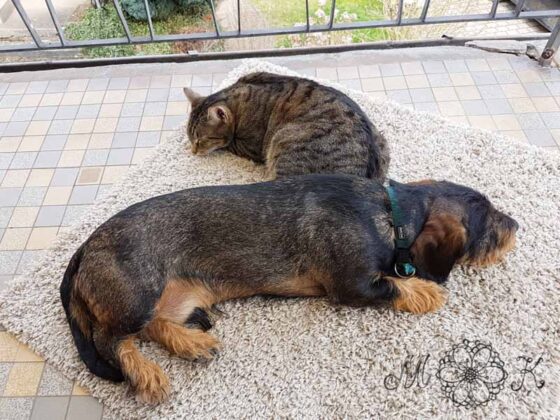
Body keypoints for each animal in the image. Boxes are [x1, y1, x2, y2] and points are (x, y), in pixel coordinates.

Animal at [59, 174, 520, 404]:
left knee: (154, 327)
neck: (389, 211)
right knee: (111, 339)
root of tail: (85, 247)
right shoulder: (353, 287)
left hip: (177, 297)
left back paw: (192, 343)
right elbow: (394, 286)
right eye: (487, 223)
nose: (517, 225)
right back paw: (148, 374)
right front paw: (427, 290)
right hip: (138, 296)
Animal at [184, 72, 390, 179]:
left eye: (201, 140)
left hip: (284, 141)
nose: (193, 151)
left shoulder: (249, 146)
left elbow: (228, 143)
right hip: (382, 141)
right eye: (190, 138)